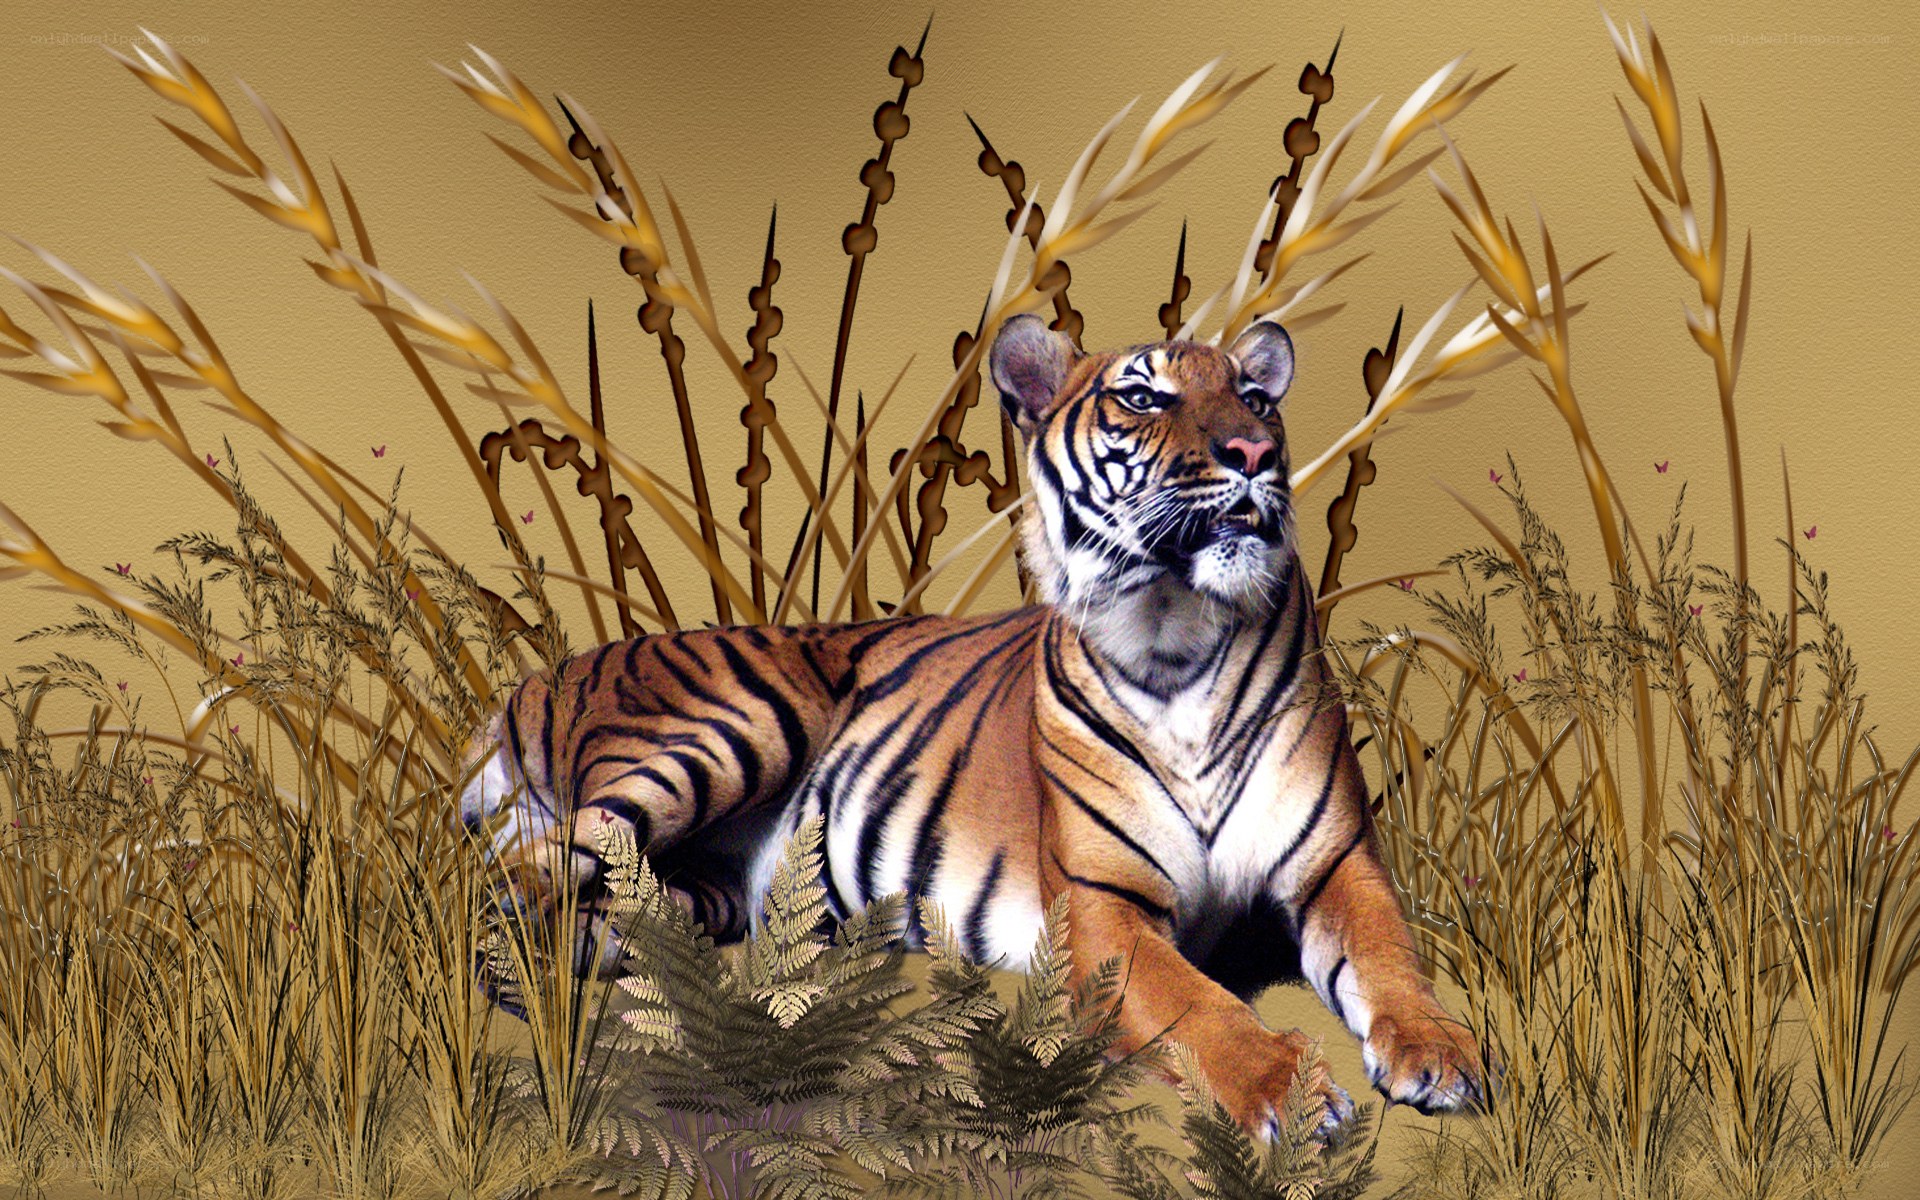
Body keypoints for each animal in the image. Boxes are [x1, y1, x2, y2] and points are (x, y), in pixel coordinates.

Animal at [458, 312, 1487, 1138]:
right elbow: (1198, 1004)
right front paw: (1287, 1086)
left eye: (1255, 398)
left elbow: (1391, 958)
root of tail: (541, 674)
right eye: (1143, 396)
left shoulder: (1340, 862)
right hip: (733, 728)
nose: (1254, 454)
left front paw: (1441, 1053)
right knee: (504, 884)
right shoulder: (1102, 909)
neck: (1180, 641)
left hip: (704, 875)